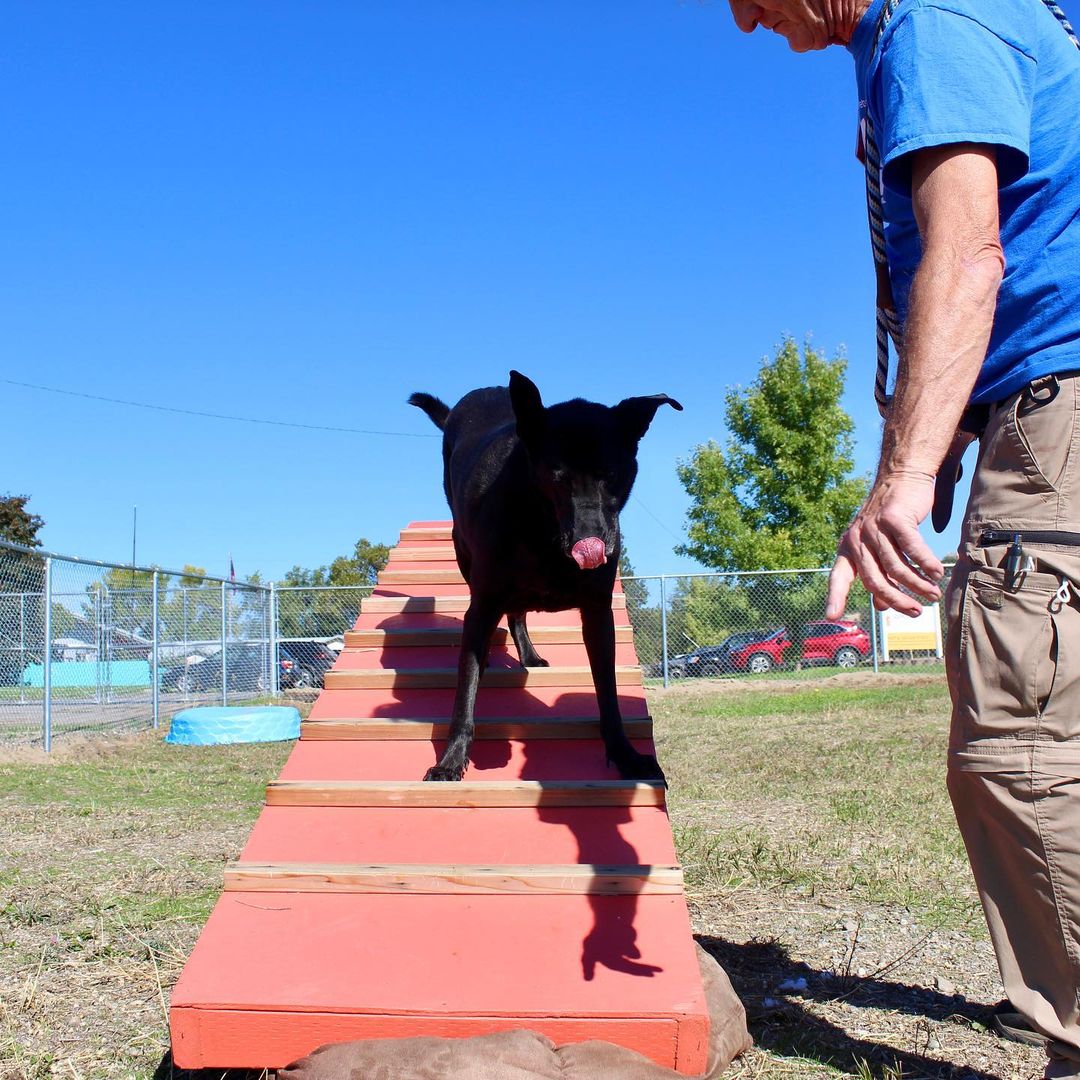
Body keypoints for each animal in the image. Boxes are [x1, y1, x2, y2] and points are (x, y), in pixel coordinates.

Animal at [408, 371, 678, 786]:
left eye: (611, 475)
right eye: (558, 479)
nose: (592, 541)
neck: (543, 529)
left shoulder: (598, 614)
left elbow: (609, 695)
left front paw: (626, 756)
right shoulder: (482, 603)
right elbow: (465, 693)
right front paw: (451, 760)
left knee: (517, 612)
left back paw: (530, 655)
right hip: (463, 549)